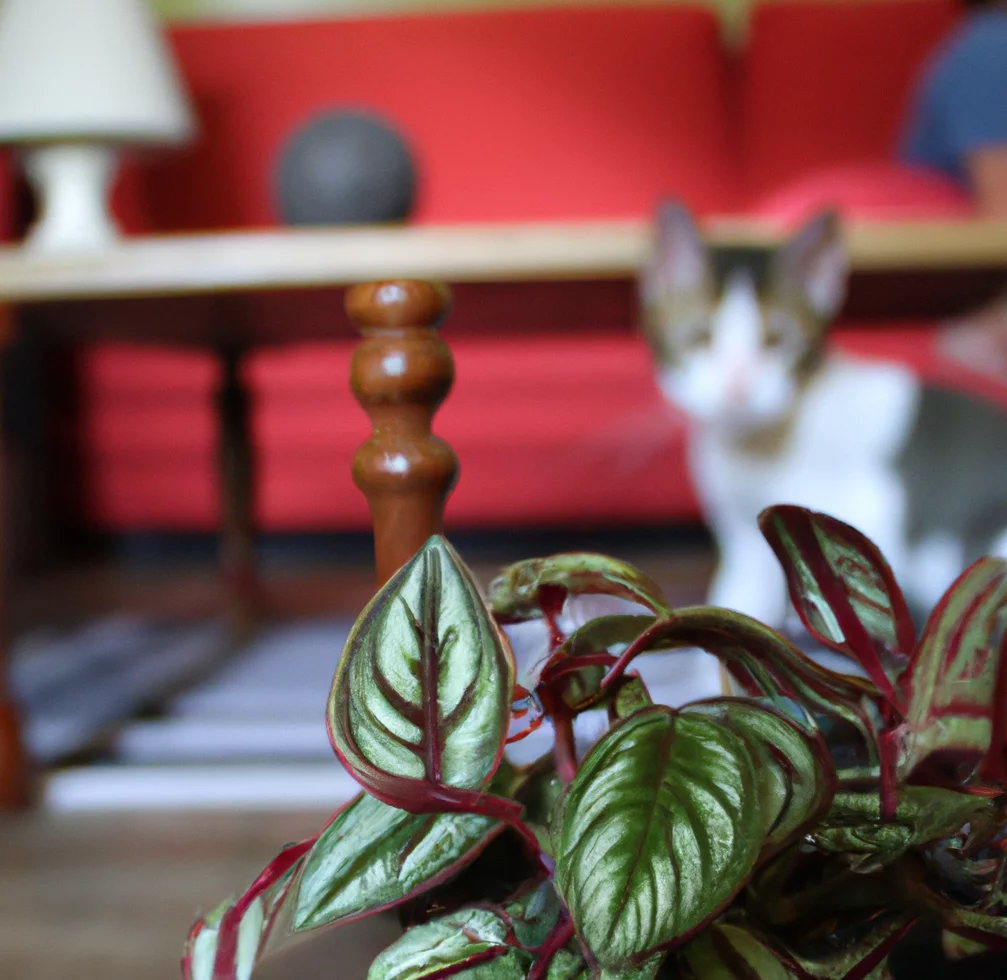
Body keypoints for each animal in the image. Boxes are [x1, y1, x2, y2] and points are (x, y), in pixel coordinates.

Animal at [640, 202, 1007, 632]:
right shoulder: (744, 541)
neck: (757, 447)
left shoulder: (869, 507)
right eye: (699, 337)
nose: (738, 384)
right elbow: (737, 597)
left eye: (778, 340)